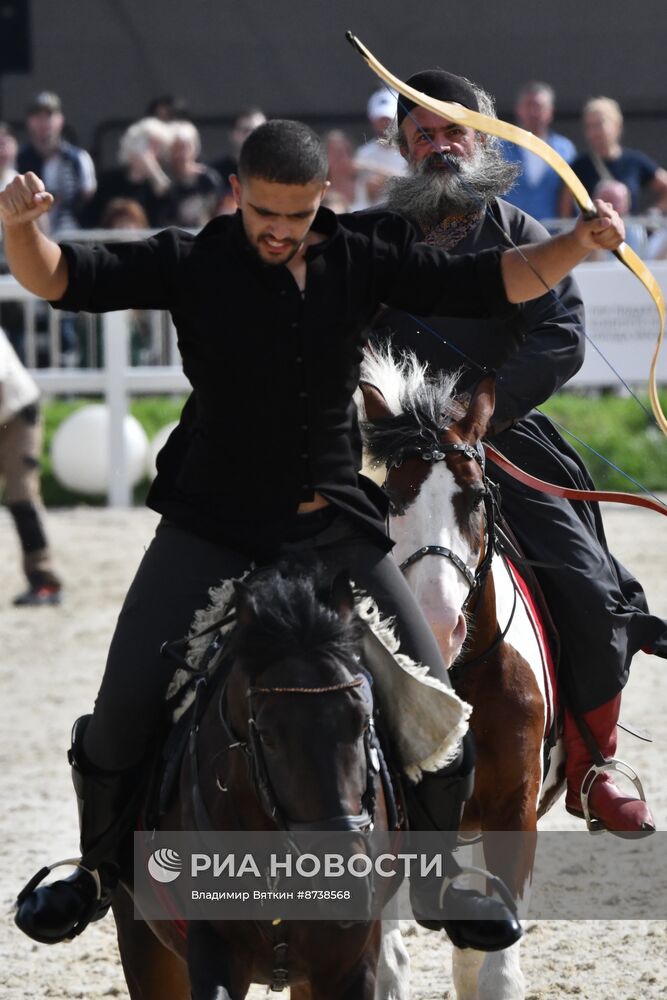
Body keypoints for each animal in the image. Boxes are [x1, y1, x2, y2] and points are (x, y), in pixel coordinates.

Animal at [358, 350, 568, 1000]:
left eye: (475, 497)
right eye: (387, 499)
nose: (435, 622)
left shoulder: (511, 812)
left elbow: (494, 969)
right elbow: (387, 962)